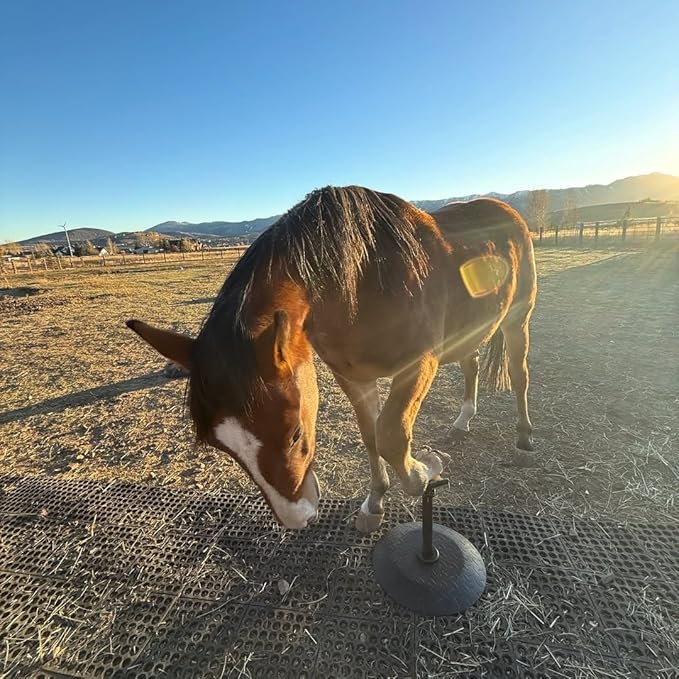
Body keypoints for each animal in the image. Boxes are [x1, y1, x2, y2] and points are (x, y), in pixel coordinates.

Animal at [126, 186, 537, 531]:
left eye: (294, 434)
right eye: (222, 448)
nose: (298, 517)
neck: (362, 283)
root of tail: (503, 209)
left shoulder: (419, 364)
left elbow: (391, 434)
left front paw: (426, 469)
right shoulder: (352, 376)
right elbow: (371, 436)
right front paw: (375, 503)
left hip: (518, 319)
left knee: (519, 374)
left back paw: (523, 438)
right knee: (472, 364)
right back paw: (463, 420)